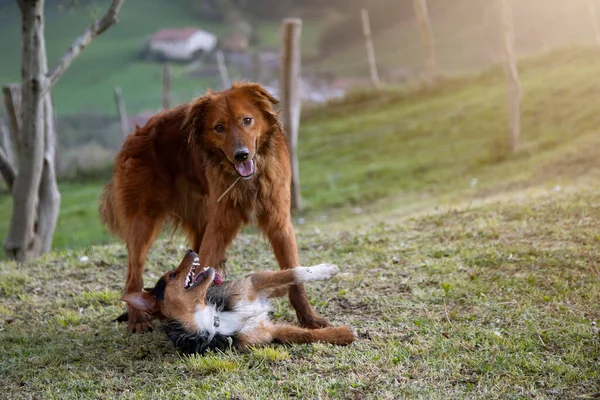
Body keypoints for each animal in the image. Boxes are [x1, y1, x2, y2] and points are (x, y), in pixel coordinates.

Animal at [103, 81, 328, 332]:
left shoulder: (279, 223)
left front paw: (309, 319)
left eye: (247, 120)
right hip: (143, 224)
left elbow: (295, 276)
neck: (246, 180)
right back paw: (138, 319)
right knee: (134, 275)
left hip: (199, 221)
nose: (242, 155)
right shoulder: (219, 226)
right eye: (219, 128)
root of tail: (134, 135)